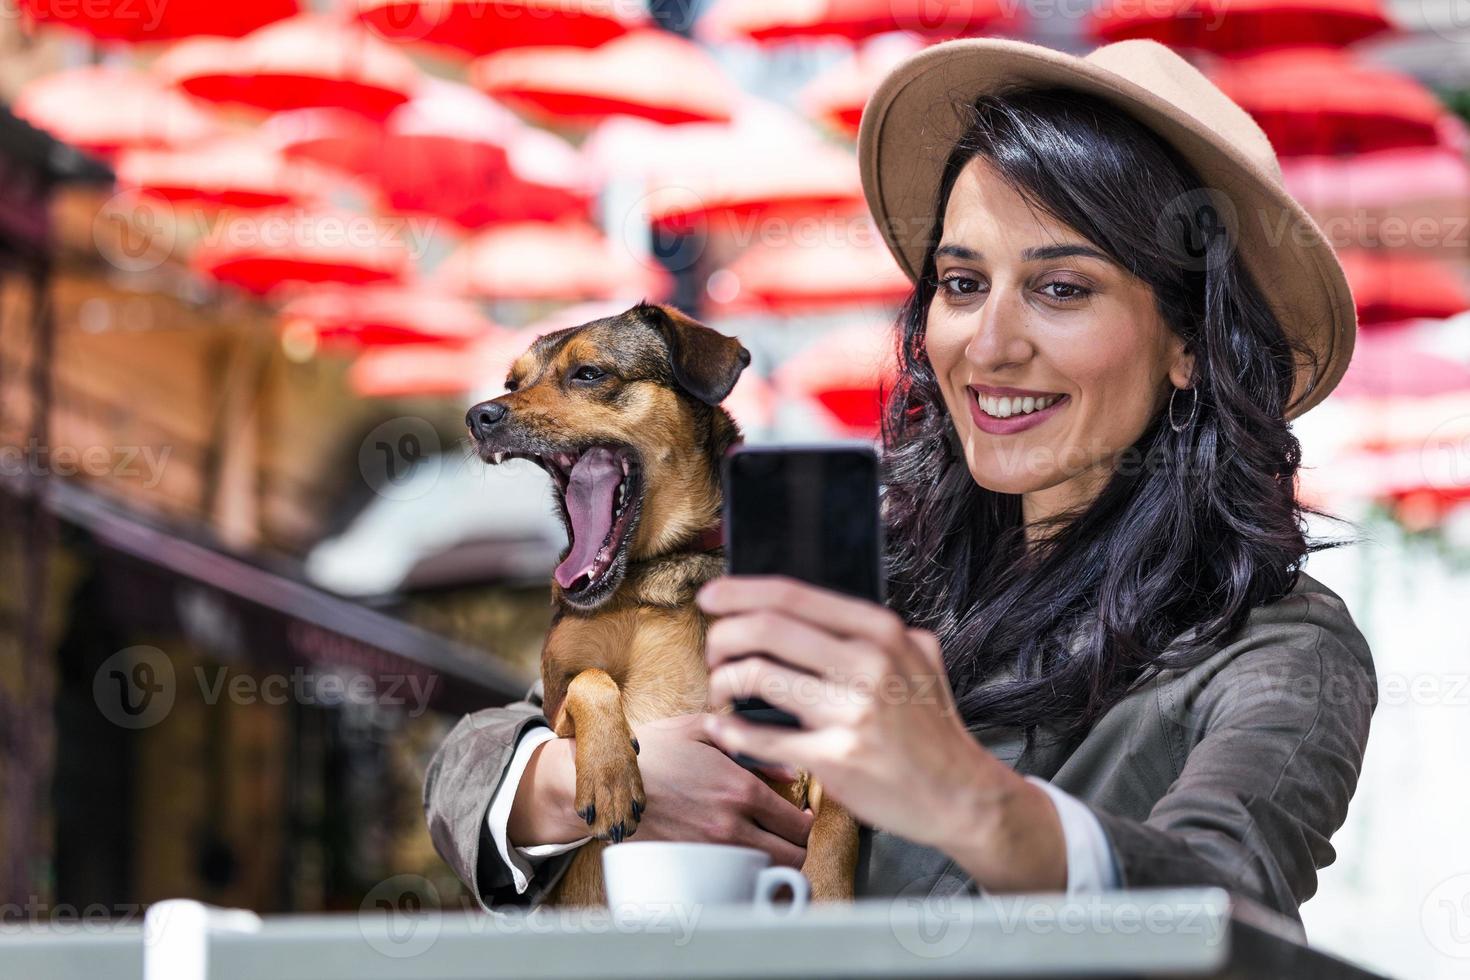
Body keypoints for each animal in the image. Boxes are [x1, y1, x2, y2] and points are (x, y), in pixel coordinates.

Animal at [464, 302, 858, 910]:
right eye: (513, 382)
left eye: (589, 374)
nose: (479, 415)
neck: (662, 571)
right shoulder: (554, 706)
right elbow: (591, 680)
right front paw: (610, 776)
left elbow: (842, 806)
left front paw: (832, 887)